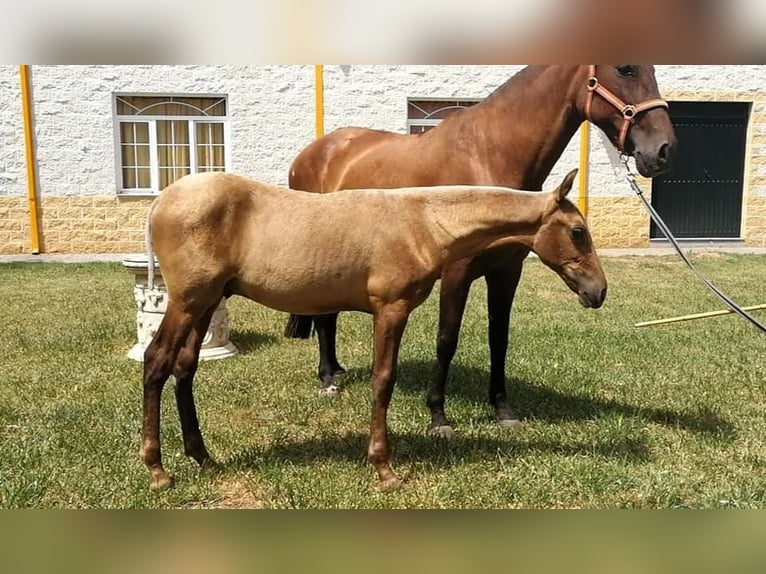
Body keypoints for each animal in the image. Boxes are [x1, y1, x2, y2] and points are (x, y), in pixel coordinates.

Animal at [138, 169, 608, 492]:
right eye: (578, 232)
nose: (599, 291)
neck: (422, 221)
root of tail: (160, 201)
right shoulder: (390, 309)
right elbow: (384, 380)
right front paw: (384, 468)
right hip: (188, 303)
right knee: (156, 362)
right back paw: (158, 470)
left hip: (205, 304)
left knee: (185, 368)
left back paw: (202, 456)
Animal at [284, 64, 680, 436]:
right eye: (626, 69)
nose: (664, 150)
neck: (488, 156)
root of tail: (312, 153)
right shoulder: (456, 273)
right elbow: (447, 339)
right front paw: (438, 416)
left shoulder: (506, 272)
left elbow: (498, 338)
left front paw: (503, 410)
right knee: (324, 317)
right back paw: (327, 380)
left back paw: (336, 370)